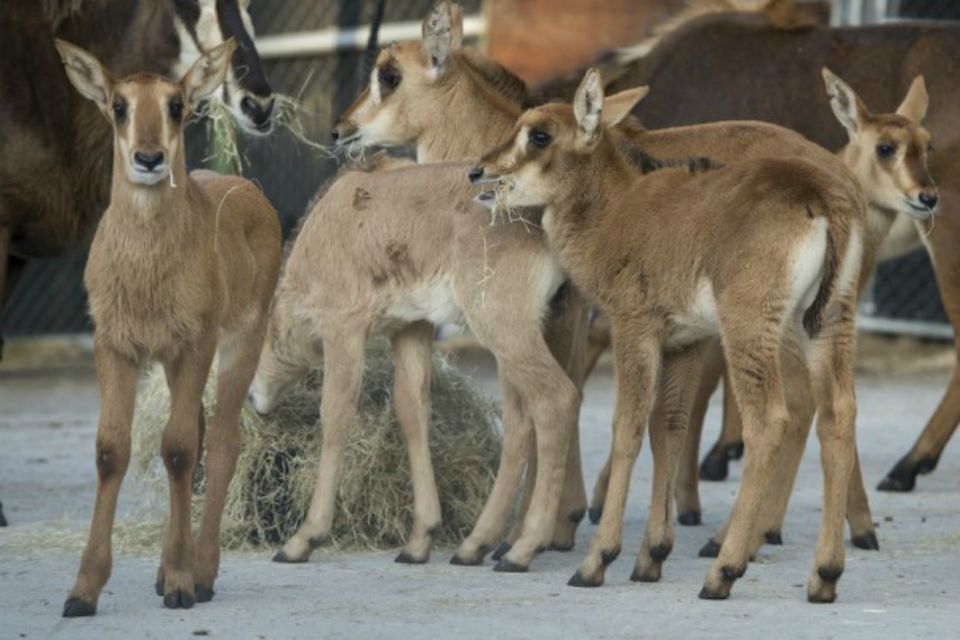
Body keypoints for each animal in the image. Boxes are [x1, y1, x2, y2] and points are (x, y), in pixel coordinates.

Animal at [54, 38, 282, 616]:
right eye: (118, 106)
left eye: (176, 105)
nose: (150, 158)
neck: (145, 267)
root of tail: (250, 191)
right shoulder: (115, 346)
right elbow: (112, 450)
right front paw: (83, 589)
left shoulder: (193, 344)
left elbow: (178, 448)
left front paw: (182, 582)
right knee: (198, 440)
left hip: (240, 343)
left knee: (220, 441)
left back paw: (201, 572)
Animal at [476, 71, 868, 604]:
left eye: (539, 135)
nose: (478, 172)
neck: (615, 210)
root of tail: (820, 196)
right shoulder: (686, 341)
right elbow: (670, 428)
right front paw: (651, 557)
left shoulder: (634, 327)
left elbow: (627, 429)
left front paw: (598, 560)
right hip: (828, 323)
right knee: (838, 415)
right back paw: (824, 574)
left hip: (751, 327)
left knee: (770, 420)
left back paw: (723, 570)